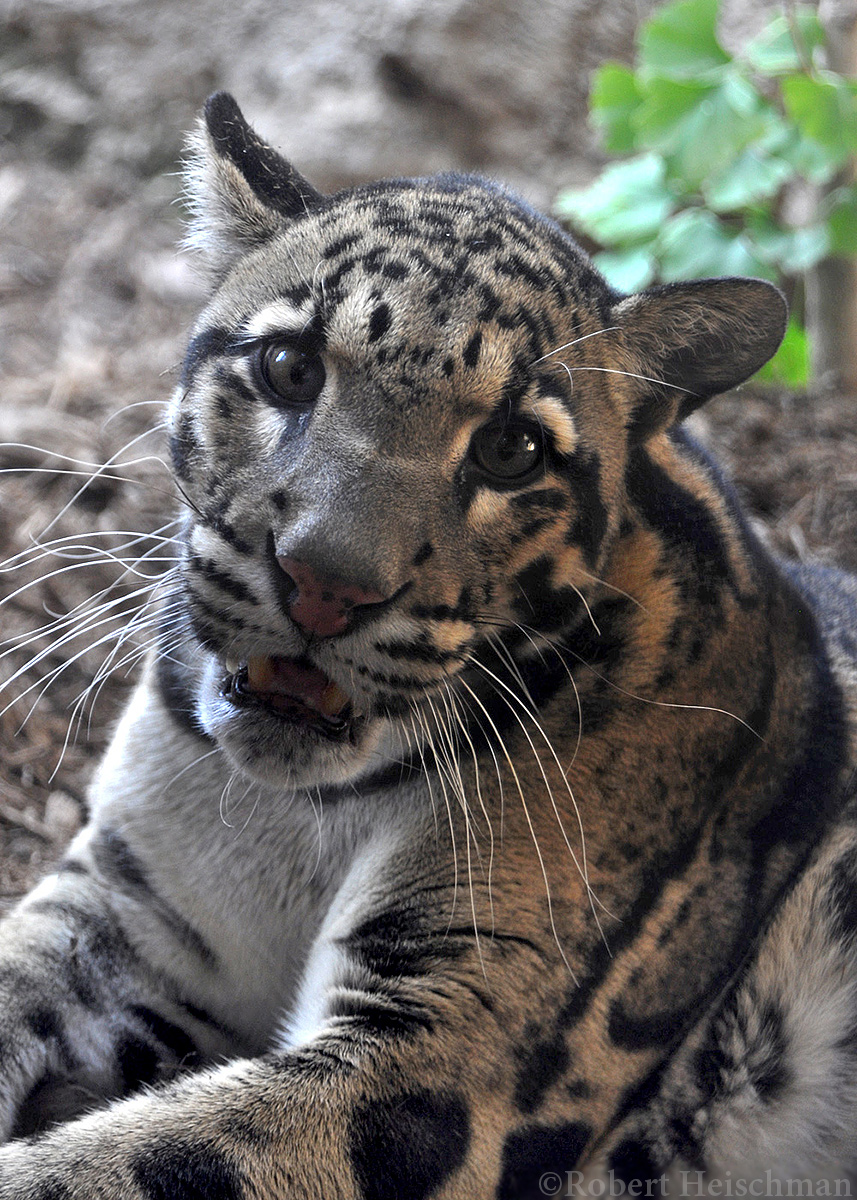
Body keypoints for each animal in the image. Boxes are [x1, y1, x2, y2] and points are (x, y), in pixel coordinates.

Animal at [0, 90, 856, 1198]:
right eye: (289, 368)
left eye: (511, 450)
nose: (327, 584)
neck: (298, 819)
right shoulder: (121, 906)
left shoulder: (435, 1053)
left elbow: (124, 1163)